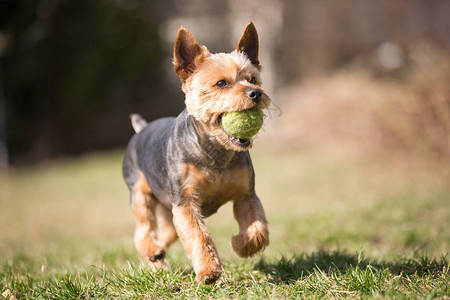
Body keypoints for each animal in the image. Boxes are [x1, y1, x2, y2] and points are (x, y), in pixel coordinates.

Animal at [122, 21, 270, 284]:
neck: (215, 151)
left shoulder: (246, 194)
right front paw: (209, 271)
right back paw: (152, 252)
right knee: (143, 228)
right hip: (140, 193)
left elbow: (258, 228)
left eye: (253, 79)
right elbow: (197, 234)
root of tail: (142, 128)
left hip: (167, 209)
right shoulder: (185, 202)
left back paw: (158, 256)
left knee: (167, 232)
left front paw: (239, 244)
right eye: (221, 83)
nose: (256, 93)